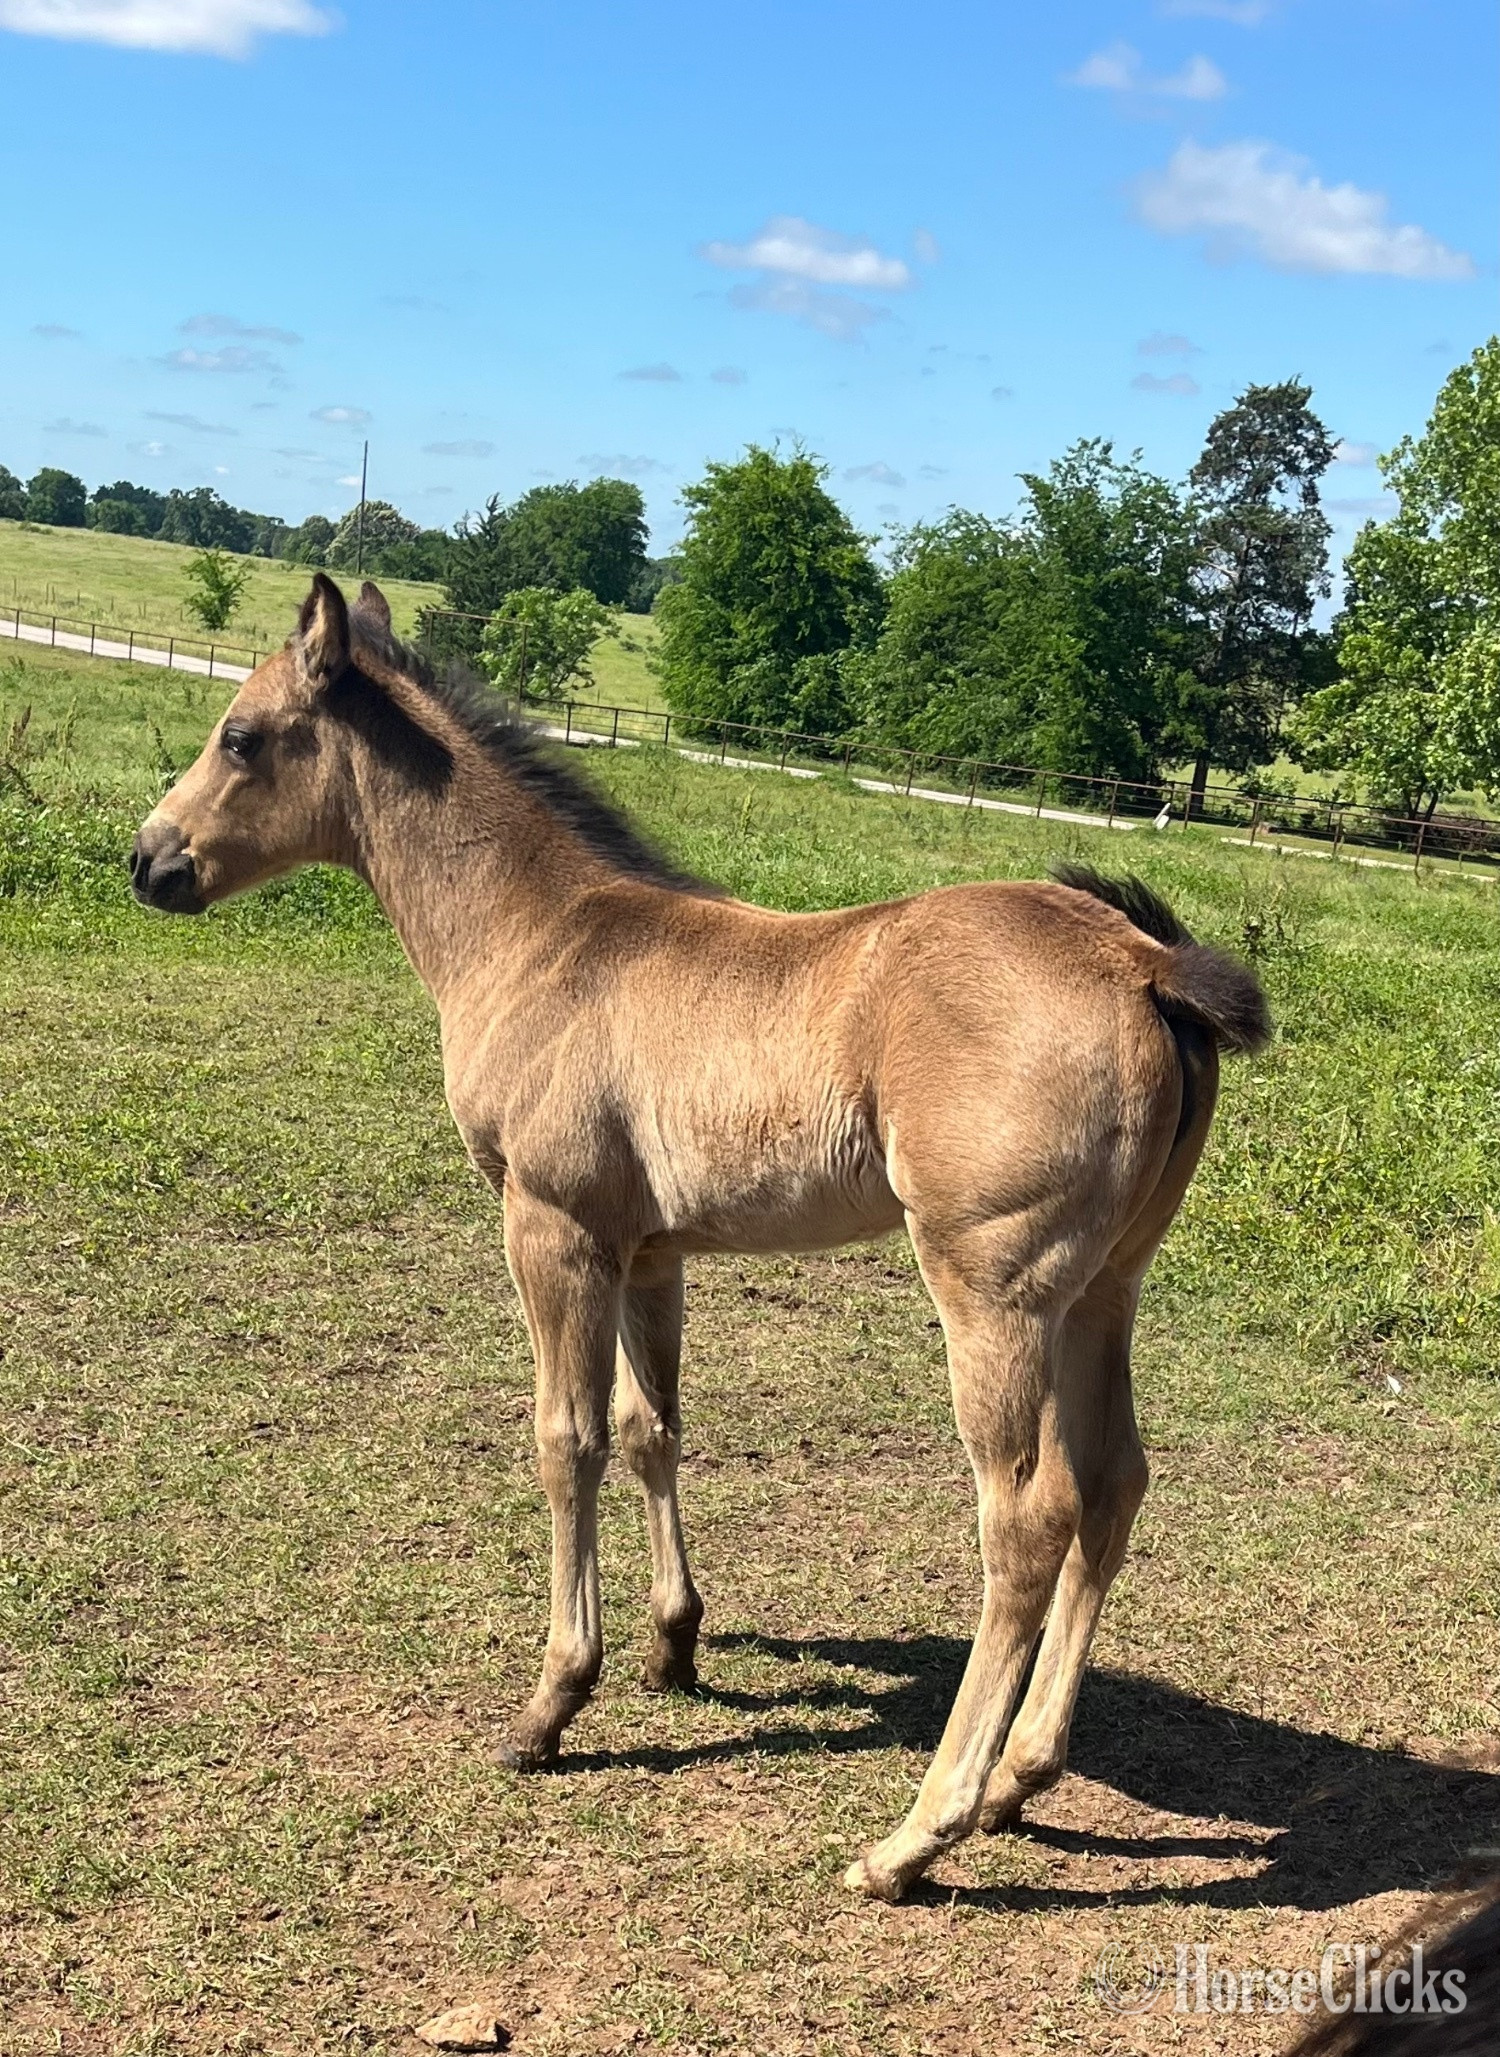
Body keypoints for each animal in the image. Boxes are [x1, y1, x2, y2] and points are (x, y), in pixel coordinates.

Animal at [130, 574, 1270, 1901]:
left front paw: (552, 1699)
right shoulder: (651, 1247)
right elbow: (650, 1426)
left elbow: (564, 1438)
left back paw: (916, 1832)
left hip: (994, 1290)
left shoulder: (553, 1226)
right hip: (1105, 1289)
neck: (544, 937)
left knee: (1028, 1518)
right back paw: (1020, 1776)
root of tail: (1144, 961)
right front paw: (673, 1645)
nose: (150, 859)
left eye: (242, 735)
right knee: (1114, 1482)